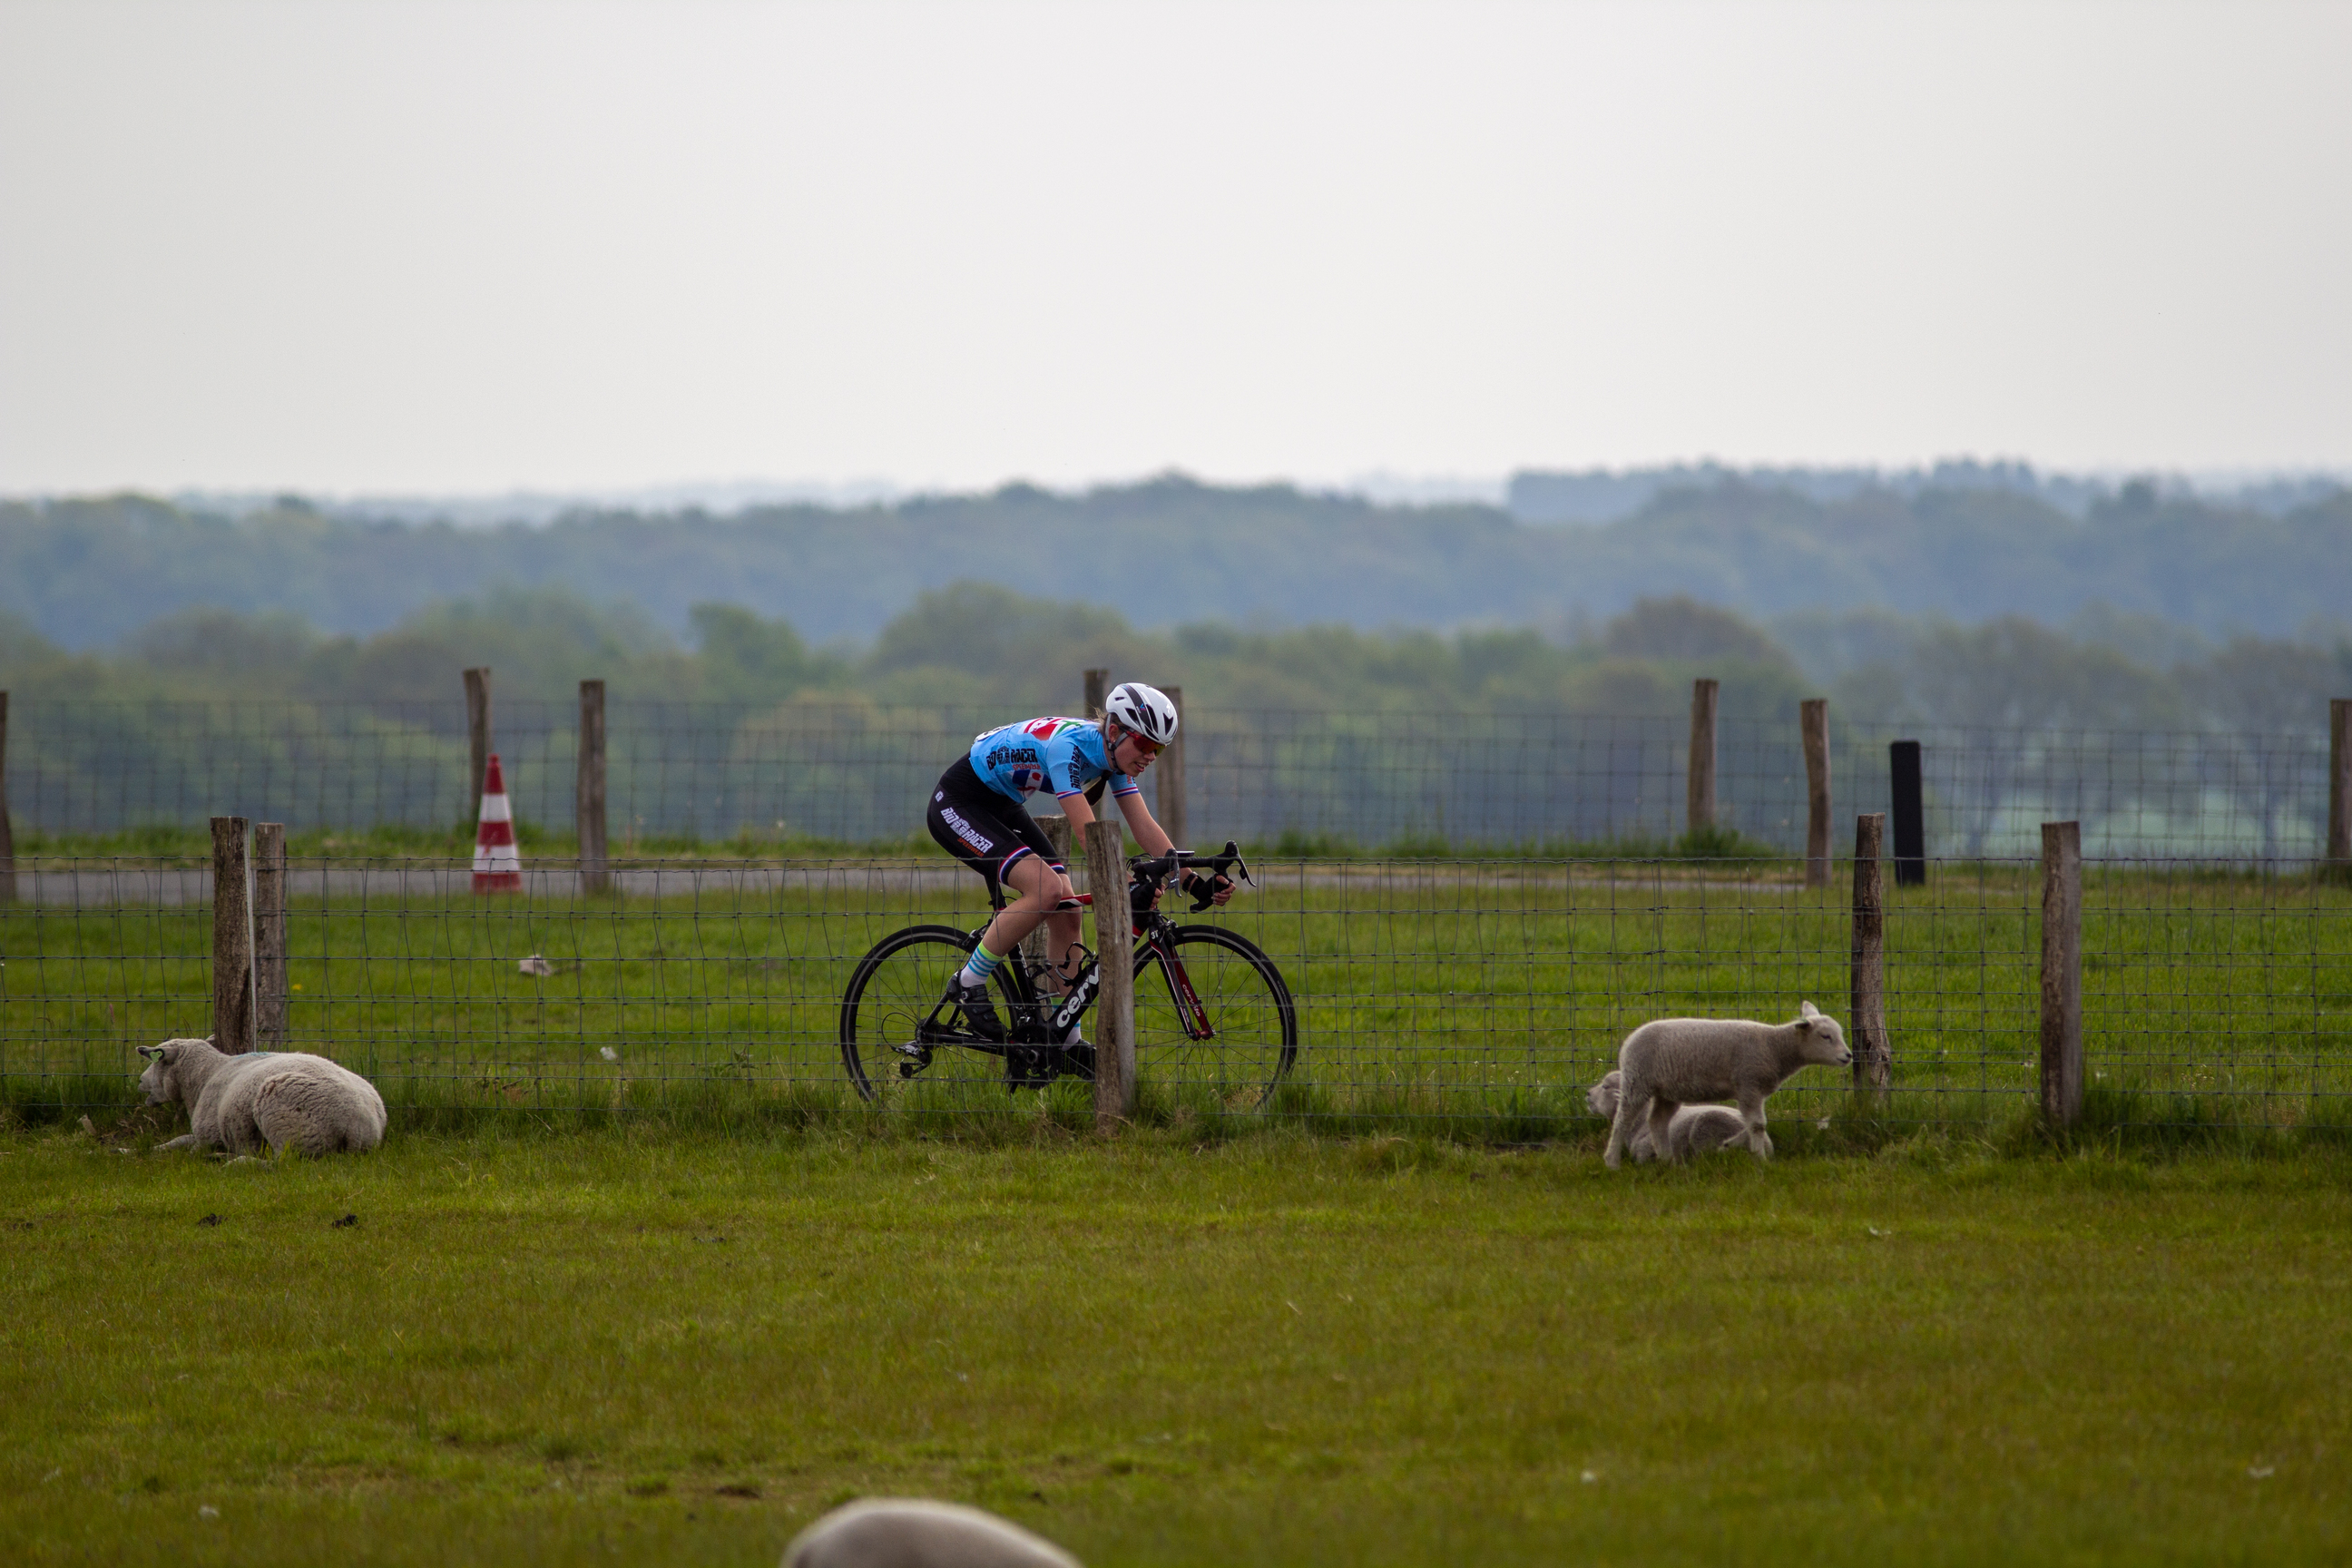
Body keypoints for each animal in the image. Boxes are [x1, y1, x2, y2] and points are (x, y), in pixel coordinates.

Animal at [138, 1034, 386, 1161]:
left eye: (157, 1061)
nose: (140, 1081)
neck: (204, 1076)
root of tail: (359, 1126)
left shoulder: (208, 1135)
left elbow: (188, 1148)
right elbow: (176, 1140)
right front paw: (139, 1151)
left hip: (288, 1126)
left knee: (282, 1163)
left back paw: (232, 1161)